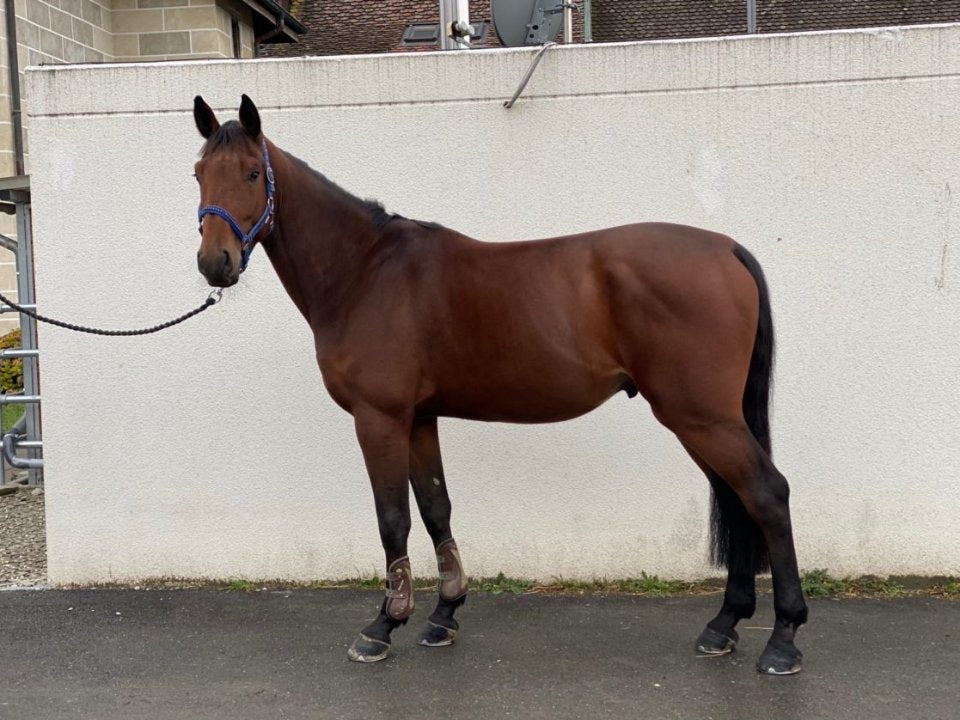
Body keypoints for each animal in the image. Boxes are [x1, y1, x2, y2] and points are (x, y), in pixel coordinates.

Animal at [191, 95, 807, 675]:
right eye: (198, 172)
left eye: (252, 172)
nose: (215, 263)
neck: (364, 271)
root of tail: (725, 249)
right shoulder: (421, 418)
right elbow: (436, 508)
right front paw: (443, 615)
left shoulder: (379, 418)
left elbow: (393, 518)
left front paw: (382, 626)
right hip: (702, 419)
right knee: (738, 497)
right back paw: (724, 625)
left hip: (700, 416)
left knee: (765, 494)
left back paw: (783, 639)